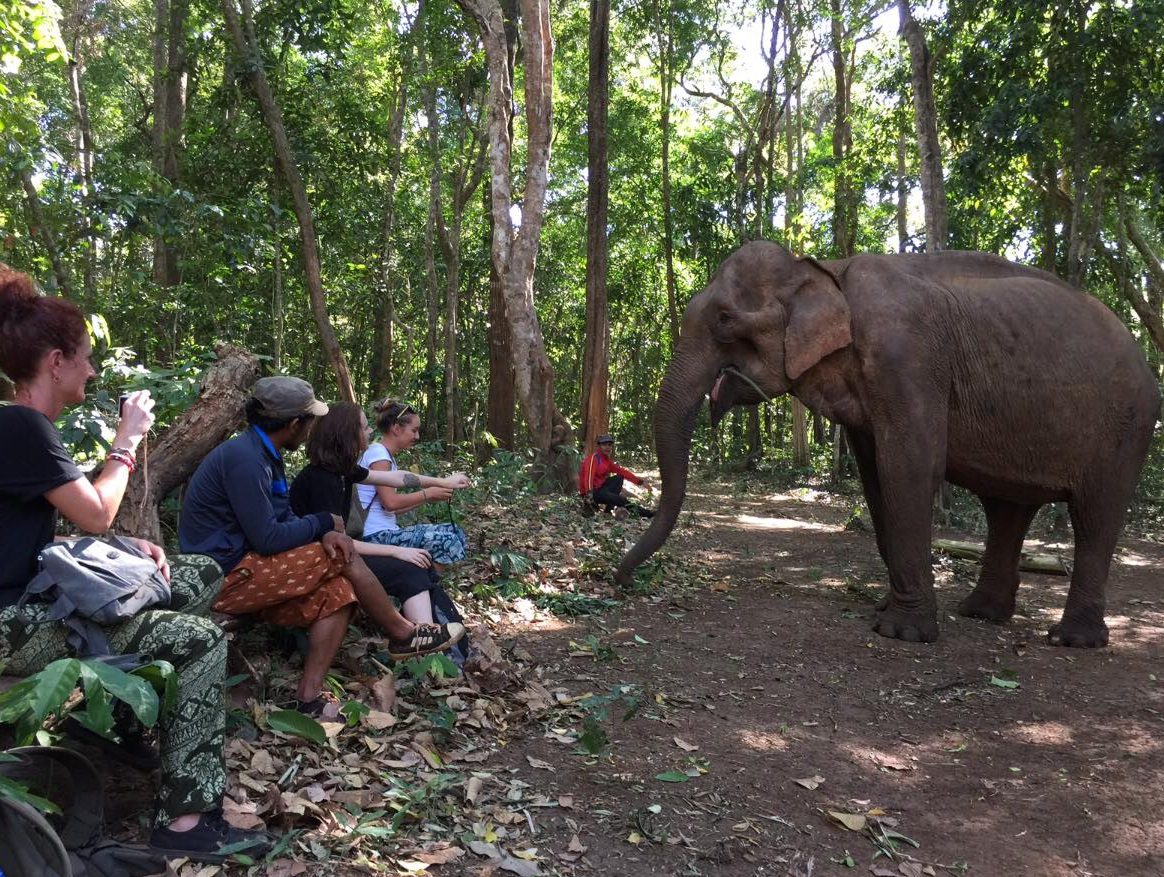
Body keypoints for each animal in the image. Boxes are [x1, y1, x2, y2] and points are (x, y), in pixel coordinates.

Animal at [614, 239, 1159, 642]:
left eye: (726, 319)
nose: (618, 580)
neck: (824, 269)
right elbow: (876, 479)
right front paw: (886, 607)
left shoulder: (907, 360)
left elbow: (910, 467)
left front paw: (902, 632)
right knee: (1007, 510)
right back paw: (980, 613)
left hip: (1126, 427)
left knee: (1095, 515)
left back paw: (1071, 638)